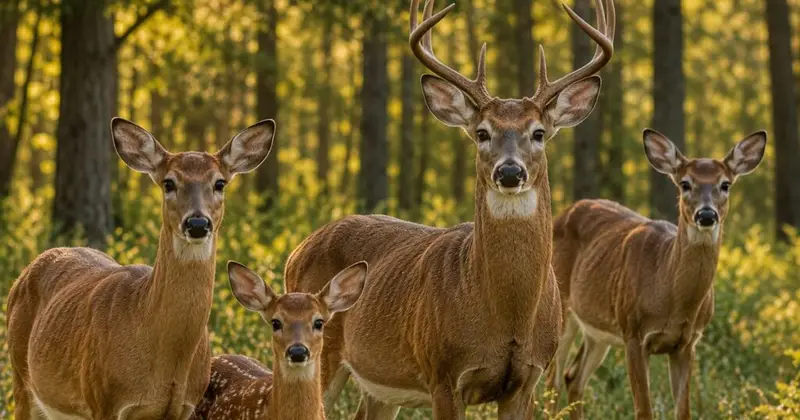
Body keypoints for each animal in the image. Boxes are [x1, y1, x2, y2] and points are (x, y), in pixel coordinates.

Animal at [6, 117, 275, 420]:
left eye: (220, 183)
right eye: (169, 183)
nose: (197, 223)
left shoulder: (184, 407)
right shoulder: (103, 400)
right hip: (20, 375)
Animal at [281, 1, 615, 418]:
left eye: (538, 133)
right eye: (482, 132)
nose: (509, 171)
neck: (508, 315)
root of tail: (296, 251)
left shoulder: (529, 378)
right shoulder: (442, 373)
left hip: (378, 382)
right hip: (319, 354)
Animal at [545, 129, 767, 419]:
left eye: (725, 184)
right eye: (685, 183)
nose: (706, 214)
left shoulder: (687, 343)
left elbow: (683, 411)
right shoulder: (634, 333)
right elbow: (644, 410)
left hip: (598, 330)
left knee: (573, 377)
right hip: (561, 307)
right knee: (551, 383)